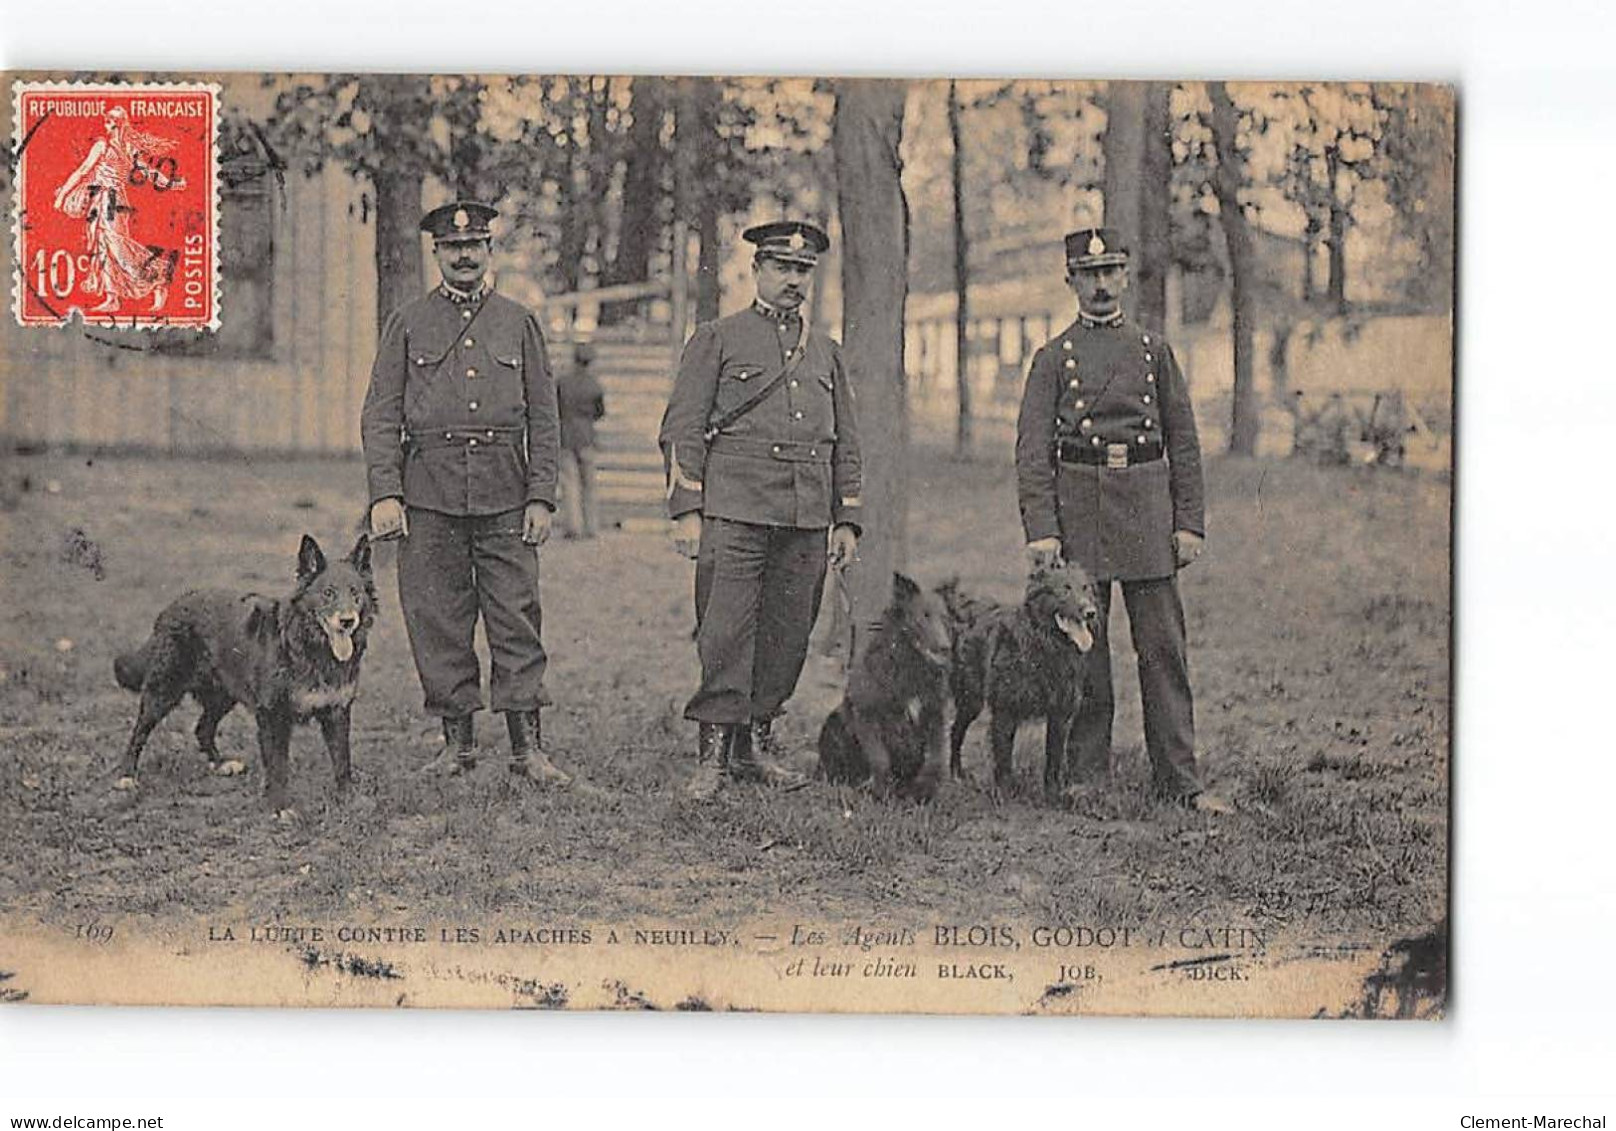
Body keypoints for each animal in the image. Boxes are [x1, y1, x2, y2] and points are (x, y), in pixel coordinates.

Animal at [111, 529, 374, 814]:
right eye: (328, 593)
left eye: (356, 593)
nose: (347, 621)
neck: (309, 646)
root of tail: (173, 606)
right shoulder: (273, 716)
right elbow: (278, 766)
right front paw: (280, 807)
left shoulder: (337, 712)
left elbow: (342, 761)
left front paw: (347, 799)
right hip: (164, 690)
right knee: (140, 731)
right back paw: (126, 775)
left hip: (223, 694)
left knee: (202, 728)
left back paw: (220, 763)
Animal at [814, 575, 950, 804]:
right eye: (924, 616)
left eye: (946, 618)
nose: (946, 647)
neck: (909, 666)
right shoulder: (867, 716)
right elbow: (880, 759)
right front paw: (880, 792)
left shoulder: (934, 715)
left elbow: (936, 758)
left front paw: (924, 791)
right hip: (832, 724)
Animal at [943, 562, 1105, 798]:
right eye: (1065, 589)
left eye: (1086, 588)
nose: (1090, 612)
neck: (1045, 645)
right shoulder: (1005, 711)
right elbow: (1003, 759)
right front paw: (1004, 793)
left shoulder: (1060, 714)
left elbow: (1053, 759)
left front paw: (1053, 796)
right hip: (970, 699)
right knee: (956, 731)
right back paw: (957, 774)